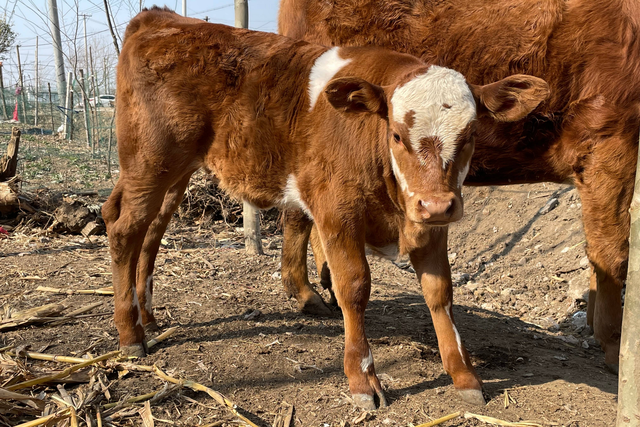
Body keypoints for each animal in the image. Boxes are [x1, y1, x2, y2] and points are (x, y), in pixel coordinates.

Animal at [102, 6, 548, 412]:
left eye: (471, 133)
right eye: (397, 135)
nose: (436, 204)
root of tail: (161, 17)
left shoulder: (429, 224)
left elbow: (440, 294)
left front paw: (463, 374)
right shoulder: (338, 212)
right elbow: (354, 287)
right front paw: (363, 379)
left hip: (175, 172)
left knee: (150, 232)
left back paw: (148, 318)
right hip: (150, 161)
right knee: (125, 230)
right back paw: (130, 335)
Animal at [278, 0, 640, 372]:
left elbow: (598, 249)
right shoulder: (610, 139)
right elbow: (613, 253)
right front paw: (616, 347)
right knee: (297, 213)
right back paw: (306, 290)